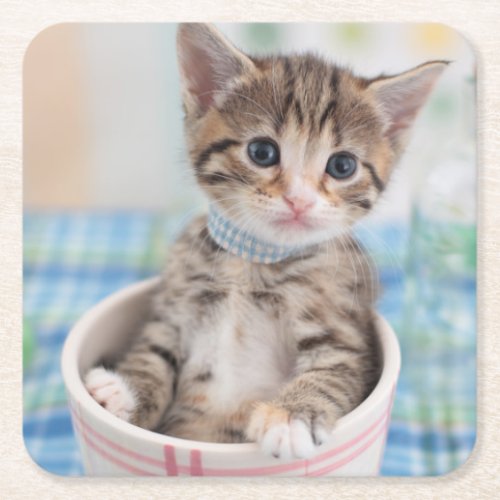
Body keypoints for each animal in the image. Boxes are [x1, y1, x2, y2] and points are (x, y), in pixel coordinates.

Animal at [85, 23, 446, 460]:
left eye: (342, 166)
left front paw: (289, 418)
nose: (299, 200)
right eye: (262, 152)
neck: (254, 260)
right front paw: (124, 391)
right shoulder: (172, 310)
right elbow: (151, 353)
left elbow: (333, 371)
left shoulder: (345, 332)